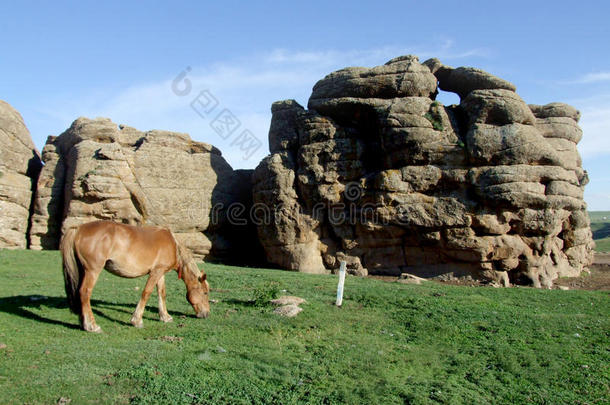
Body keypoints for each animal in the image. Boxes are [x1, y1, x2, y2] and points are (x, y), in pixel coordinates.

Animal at [59, 221, 210, 332]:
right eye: (205, 292)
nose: (207, 314)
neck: (173, 245)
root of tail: (79, 228)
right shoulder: (155, 273)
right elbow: (146, 293)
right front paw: (137, 320)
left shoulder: (160, 272)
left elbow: (161, 293)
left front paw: (165, 317)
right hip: (92, 271)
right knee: (85, 293)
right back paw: (92, 326)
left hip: (83, 271)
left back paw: (84, 323)